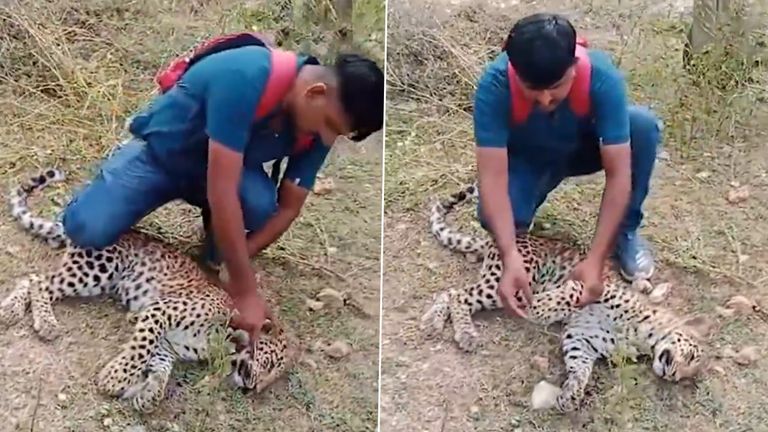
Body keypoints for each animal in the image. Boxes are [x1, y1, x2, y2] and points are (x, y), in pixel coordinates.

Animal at [0, 168, 296, 412]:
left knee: (33, 279)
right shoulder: (159, 311)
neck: (223, 342)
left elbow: (160, 371)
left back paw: (10, 310)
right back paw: (45, 322)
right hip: (99, 269)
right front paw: (116, 377)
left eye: (272, 378)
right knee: (38, 280)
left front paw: (146, 394)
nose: (253, 389)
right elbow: (140, 349)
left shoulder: (168, 346)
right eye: (269, 366)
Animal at [420, 182, 708, 412]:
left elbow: (580, 368)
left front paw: (571, 395)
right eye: (692, 358)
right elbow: (565, 295)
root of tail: (512, 237)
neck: (643, 338)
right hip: (506, 281)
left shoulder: (581, 339)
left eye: (685, 377)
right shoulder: (594, 288)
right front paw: (538, 307)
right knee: (458, 294)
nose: (672, 376)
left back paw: (434, 322)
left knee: (451, 293)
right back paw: (465, 332)